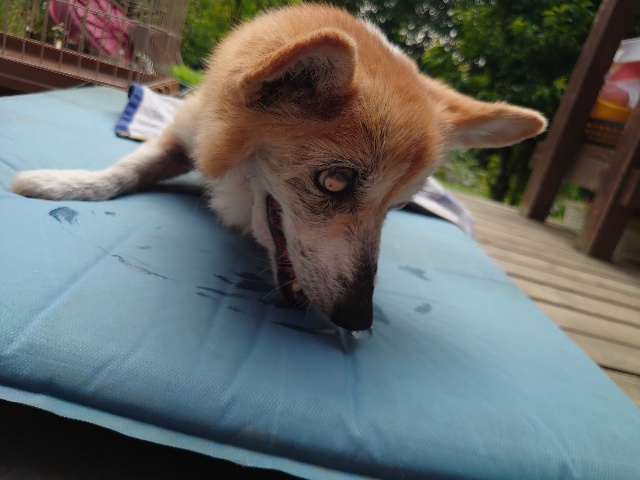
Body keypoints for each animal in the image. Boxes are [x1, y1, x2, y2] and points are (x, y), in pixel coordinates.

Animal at [11, 4, 546, 331]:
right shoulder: (185, 134)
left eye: (395, 206)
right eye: (334, 181)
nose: (358, 319)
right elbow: (124, 169)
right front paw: (63, 182)